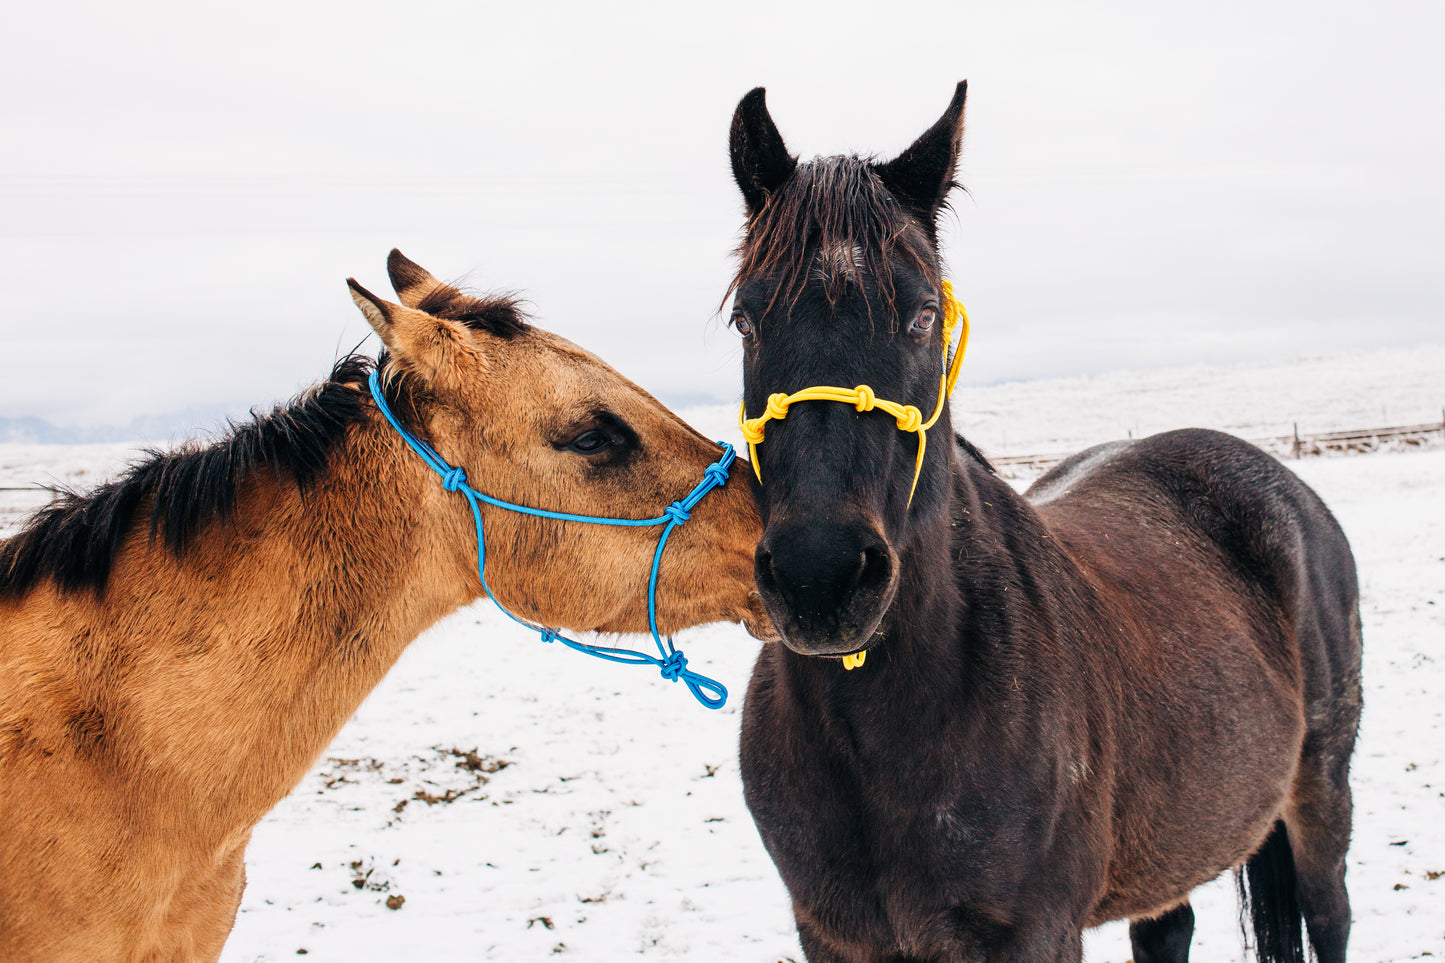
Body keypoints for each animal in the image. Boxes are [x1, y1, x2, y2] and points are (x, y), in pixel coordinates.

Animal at [728, 84, 1358, 960]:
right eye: (746, 321)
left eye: (921, 315)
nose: (819, 577)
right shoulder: (831, 932)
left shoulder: (1031, 932)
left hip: (1320, 790)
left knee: (1328, 912)